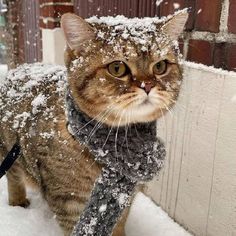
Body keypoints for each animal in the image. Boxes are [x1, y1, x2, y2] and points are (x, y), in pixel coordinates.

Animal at [0, 11, 188, 236]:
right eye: (117, 68)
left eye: (160, 66)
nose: (148, 85)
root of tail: (22, 66)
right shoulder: (68, 198)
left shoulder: (125, 196)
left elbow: (119, 224)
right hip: (10, 152)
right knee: (13, 176)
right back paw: (17, 200)